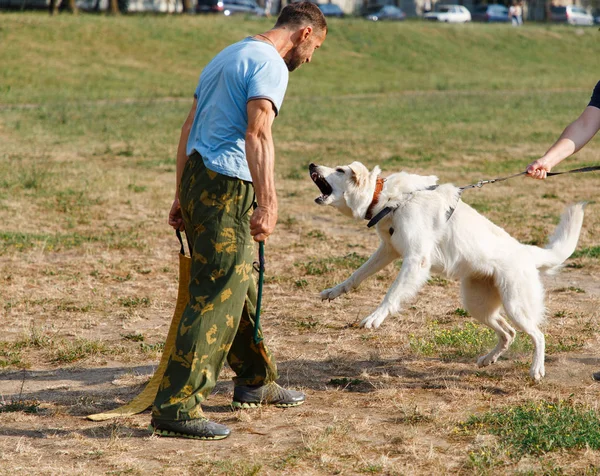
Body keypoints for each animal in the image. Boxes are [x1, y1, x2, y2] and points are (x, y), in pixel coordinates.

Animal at [312, 162, 584, 382]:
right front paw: (334, 292)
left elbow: (391, 294)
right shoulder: (389, 250)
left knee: (538, 335)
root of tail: (527, 253)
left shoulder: (416, 260)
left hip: (516, 305)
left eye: (340, 170)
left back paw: (536, 370)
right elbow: (357, 275)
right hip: (478, 305)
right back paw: (488, 359)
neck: (392, 199)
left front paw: (375, 317)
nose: (312, 164)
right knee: (508, 333)